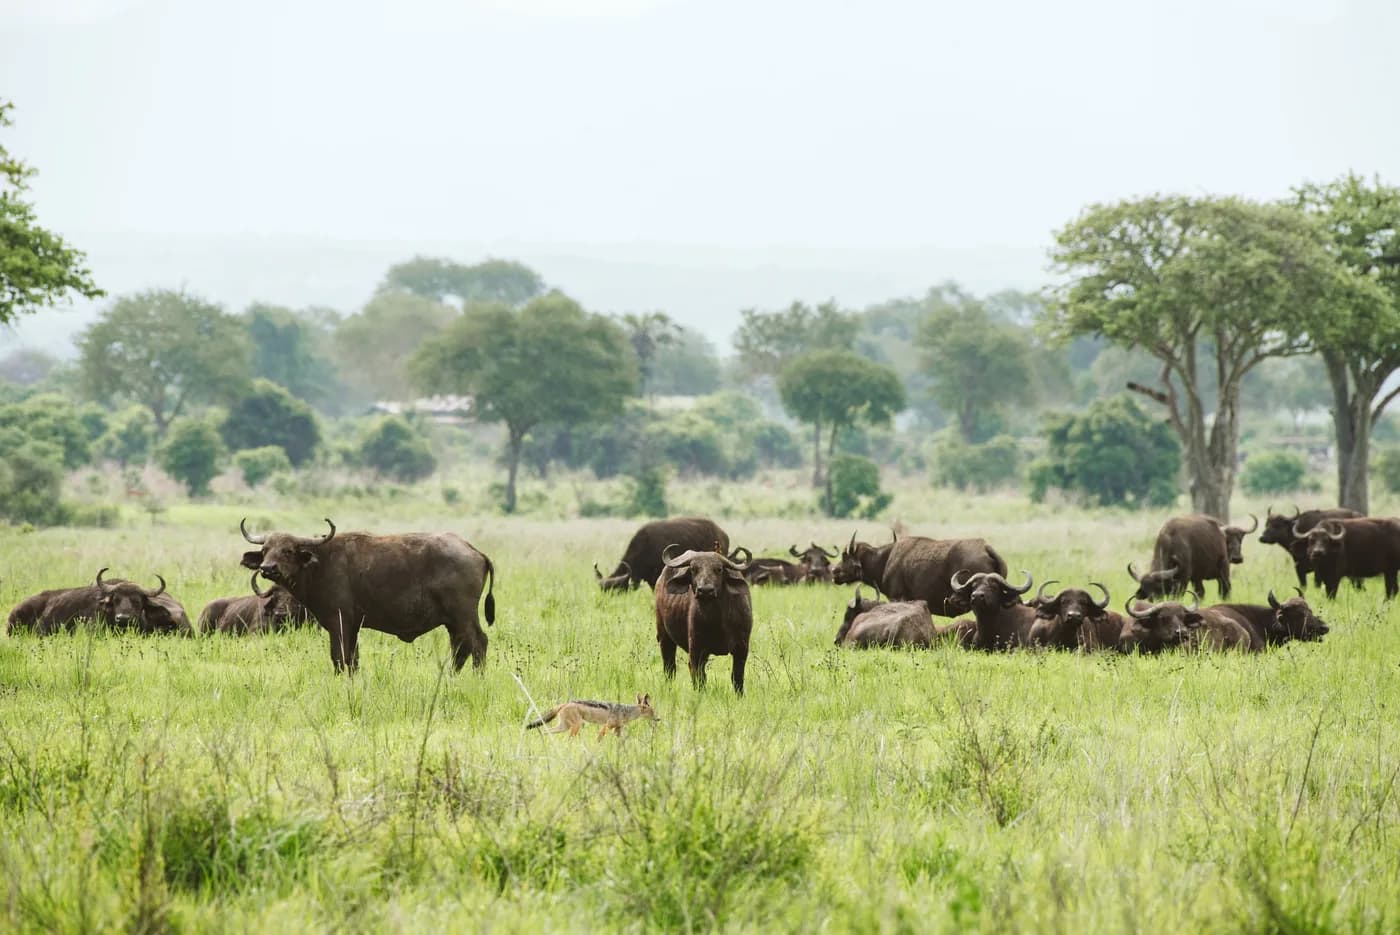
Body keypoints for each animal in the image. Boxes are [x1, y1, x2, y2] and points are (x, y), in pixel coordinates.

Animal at [240, 518, 496, 673]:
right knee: (461, 649)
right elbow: (352, 660)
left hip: (464, 616)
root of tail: (474, 550)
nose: (267, 568)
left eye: (288, 550)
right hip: (452, 622)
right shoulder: (353, 627)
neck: (320, 564)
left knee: (478, 643)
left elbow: (339, 658)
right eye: (265, 550)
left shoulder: (339, 623)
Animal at [654, 545, 752, 693]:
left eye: (719, 569)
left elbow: (737, 677)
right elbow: (699, 678)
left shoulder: (742, 648)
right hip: (664, 636)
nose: (705, 590)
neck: (717, 620)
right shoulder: (696, 648)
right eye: (693, 569)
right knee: (669, 667)